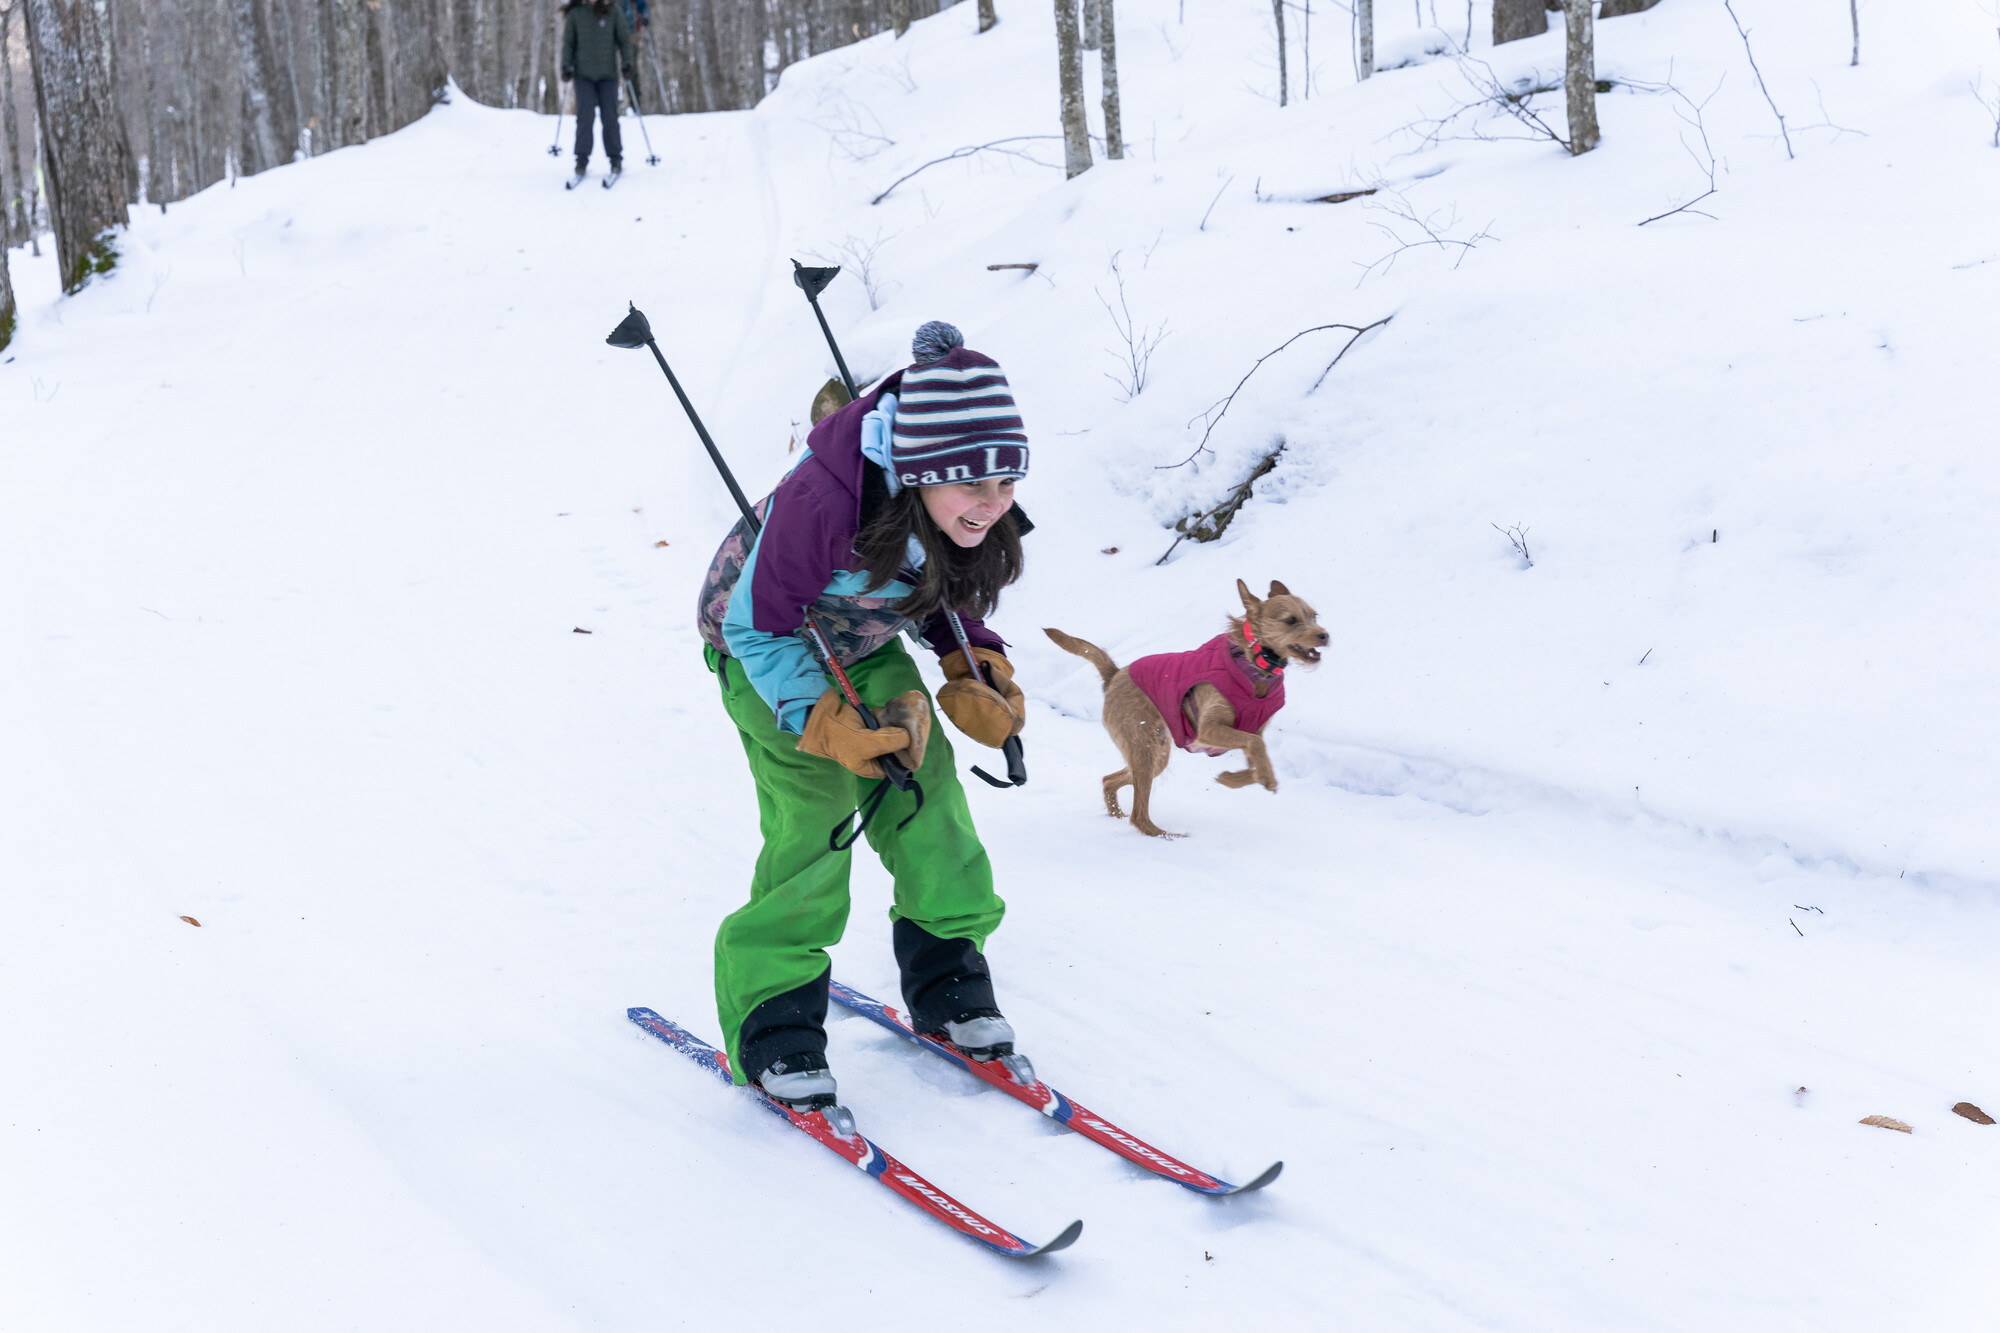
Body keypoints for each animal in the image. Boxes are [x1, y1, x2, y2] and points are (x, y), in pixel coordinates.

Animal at [1048, 580, 1328, 836]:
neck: (1254, 666)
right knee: (1139, 815)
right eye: (1290, 620)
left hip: (1156, 755)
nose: (1324, 635)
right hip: (1144, 749)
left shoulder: (1250, 733)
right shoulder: (1209, 730)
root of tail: (1114, 675)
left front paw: (1231, 779)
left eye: (1314, 616)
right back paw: (1163, 835)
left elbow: (1256, 763)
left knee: (1109, 781)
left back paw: (1117, 815)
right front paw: (1263, 778)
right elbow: (1257, 749)